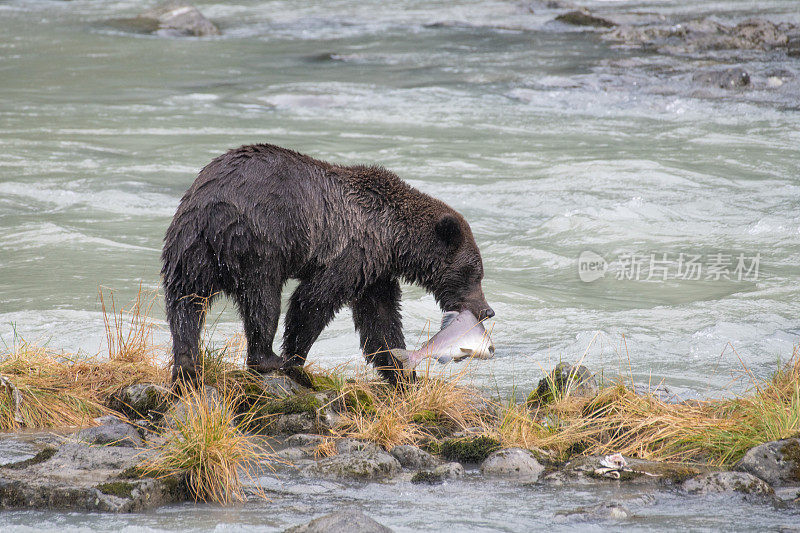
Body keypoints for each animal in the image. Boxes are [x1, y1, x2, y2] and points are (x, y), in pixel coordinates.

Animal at [162, 142, 494, 382]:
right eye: (474, 273)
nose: (487, 310)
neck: (392, 239)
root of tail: (211, 212)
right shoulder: (350, 251)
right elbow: (313, 300)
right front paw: (295, 359)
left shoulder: (375, 273)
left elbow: (380, 321)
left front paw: (401, 372)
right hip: (258, 241)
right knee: (263, 301)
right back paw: (268, 359)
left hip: (189, 250)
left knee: (185, 304)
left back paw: (187, 363)